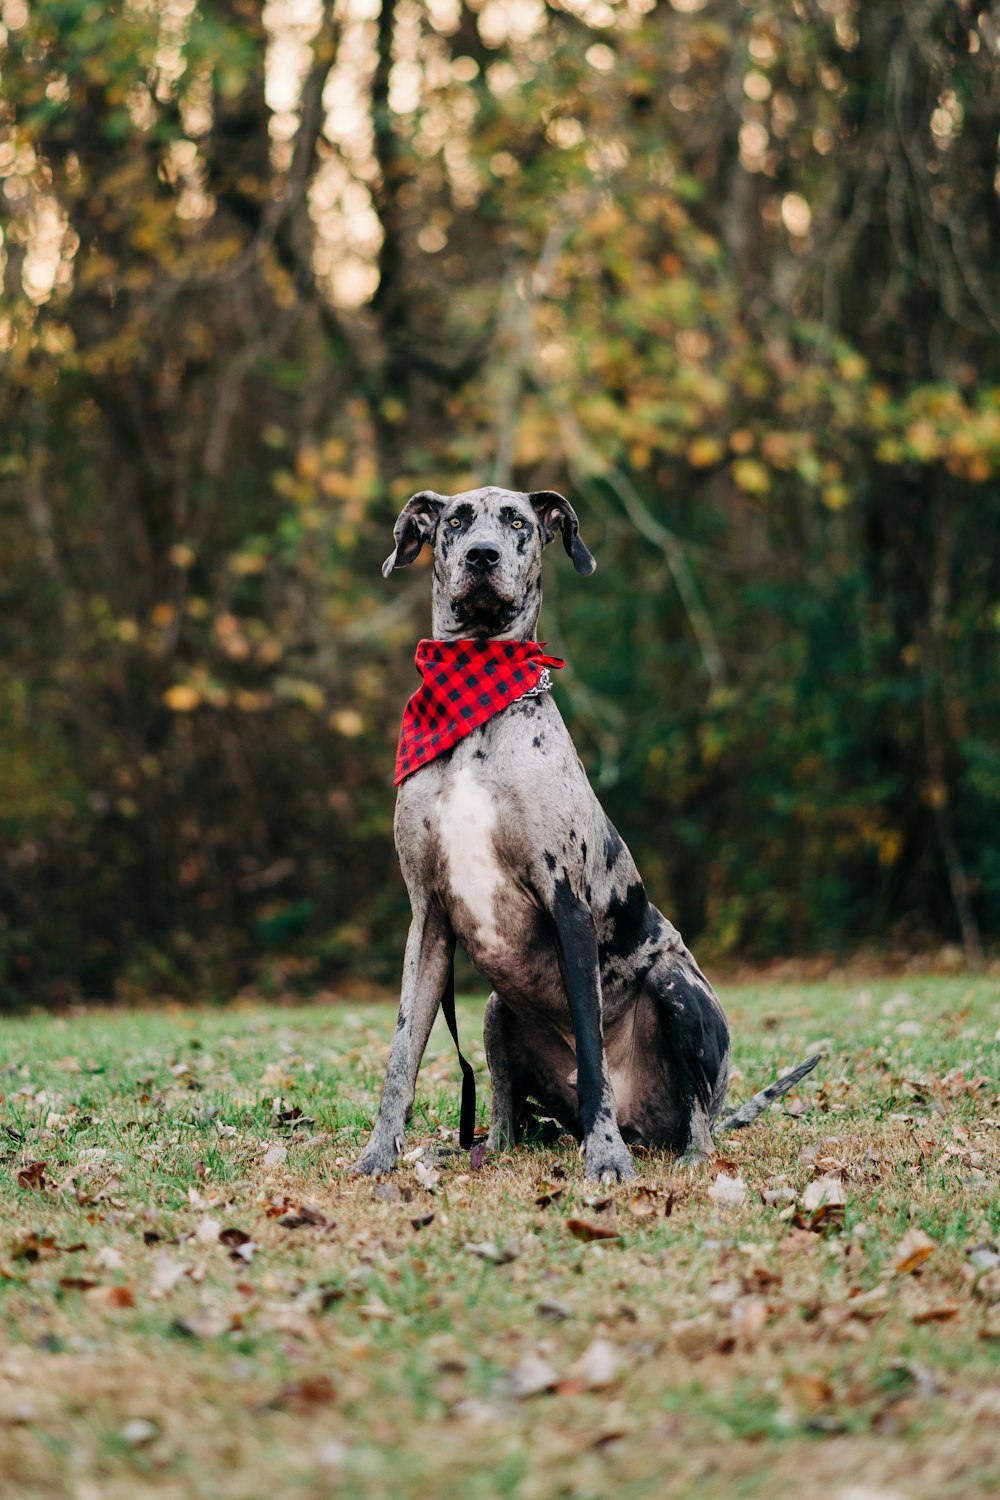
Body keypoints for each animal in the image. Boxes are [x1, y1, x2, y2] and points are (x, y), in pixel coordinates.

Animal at [347, 486, 815, 1176]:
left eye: (517, 521)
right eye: (455, 520)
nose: (482, 555)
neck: (479, 710)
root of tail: (648, 1126)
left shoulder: (567, 903)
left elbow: (592, 1055)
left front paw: (605, 1160)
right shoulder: (428, 915)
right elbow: (403, 1052)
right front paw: (380, 1154)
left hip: (676, 987)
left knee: (698, 1113)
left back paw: (682, 1155)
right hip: (495, 1011)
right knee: (506, 1111)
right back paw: (490, 1148)